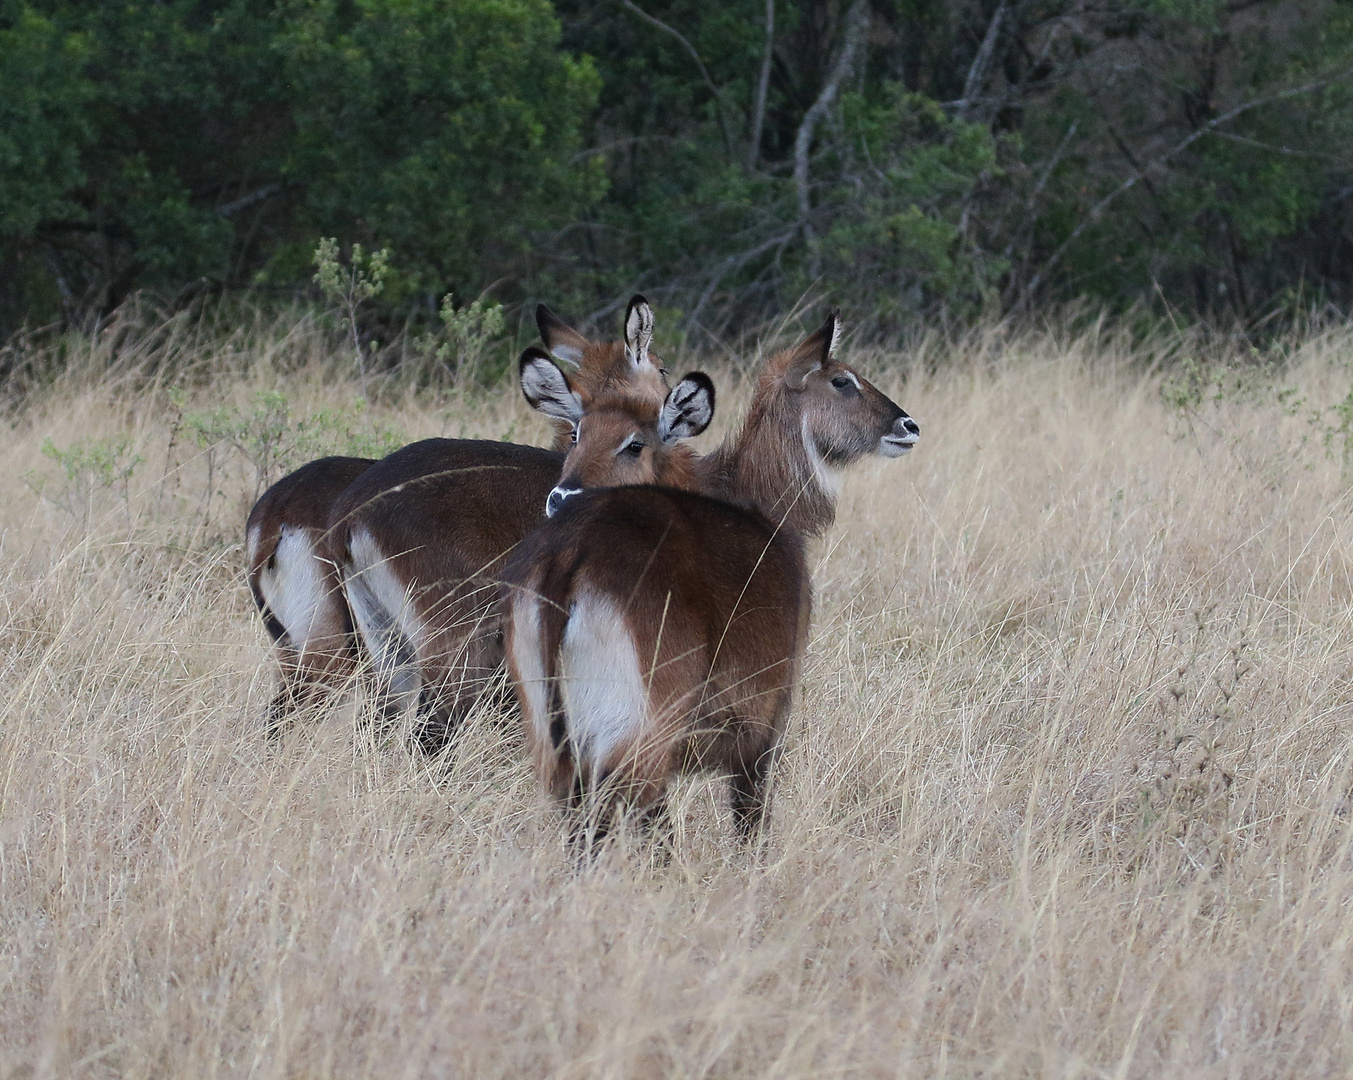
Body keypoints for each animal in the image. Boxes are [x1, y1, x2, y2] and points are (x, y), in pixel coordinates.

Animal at [500, 311, 920, 855]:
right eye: (842, 380)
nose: (908, 425)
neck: (754, 499)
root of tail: (568, 558)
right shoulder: (766, 719)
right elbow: (750, 825)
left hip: (553, 734)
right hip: (639, 732)